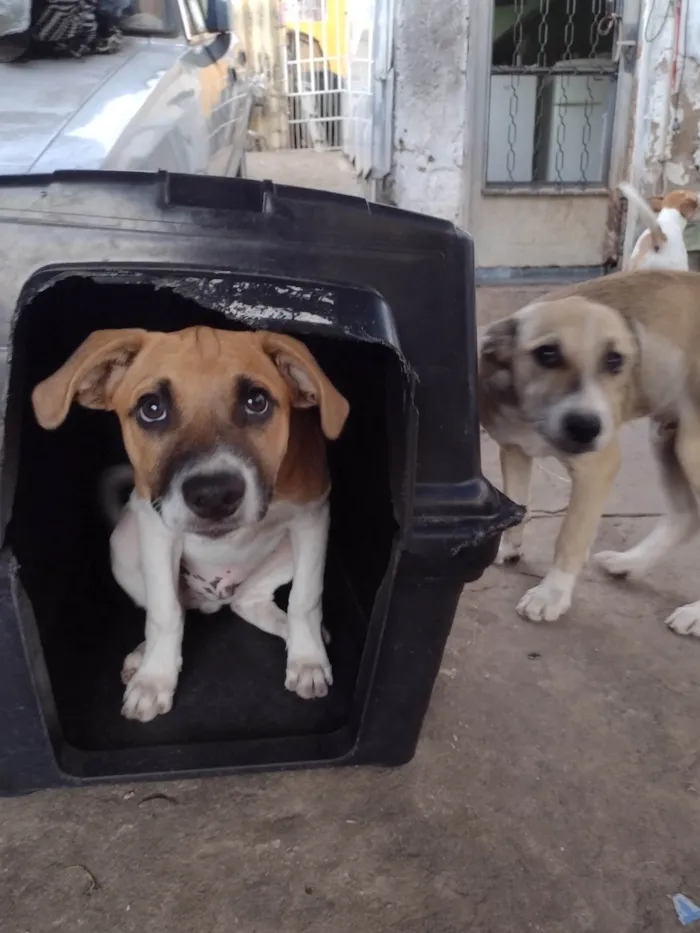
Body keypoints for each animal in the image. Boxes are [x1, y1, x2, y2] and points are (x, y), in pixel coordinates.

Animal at [32, 328, 350, 720]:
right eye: (152, 408)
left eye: (256, 401)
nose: (214, 495)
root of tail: (215, 598)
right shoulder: (156, 530)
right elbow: (164, 612)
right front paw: (154, 679)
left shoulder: (312, 517)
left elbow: (304, 599)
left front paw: (307, 660)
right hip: (123, 544)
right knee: (179, 608)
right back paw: (143, 656)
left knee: (249, 601)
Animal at [482, 268, 700, 632]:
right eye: (547, 354)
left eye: (615, 360)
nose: (586, 427)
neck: (533, 418)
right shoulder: (514, 449)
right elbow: (516, 503)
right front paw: (506, 546)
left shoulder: (598, 468)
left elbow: (570, 535)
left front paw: (551, 594)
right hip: (668, 439)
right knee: (687, 516)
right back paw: (629, 563)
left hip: (691, 450)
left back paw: (694, 613)